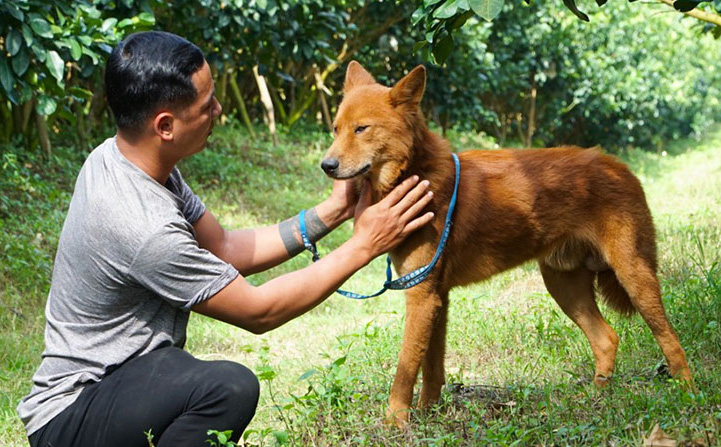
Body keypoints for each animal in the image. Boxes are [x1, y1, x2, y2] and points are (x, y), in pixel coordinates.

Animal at [320, 61, 692, 428]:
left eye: (362, 129)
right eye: (336, 129)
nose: (327, 166)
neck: (416, 172)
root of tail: (618, 165)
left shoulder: (422, 295)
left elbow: (406, 369)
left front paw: (394, 423)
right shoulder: (435, 296)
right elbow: (431, 369)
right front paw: (429, 415)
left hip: (633, 275)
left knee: (670, 339)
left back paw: (687, 391)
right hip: (564, 286)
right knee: (607, 339)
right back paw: (598, 397)